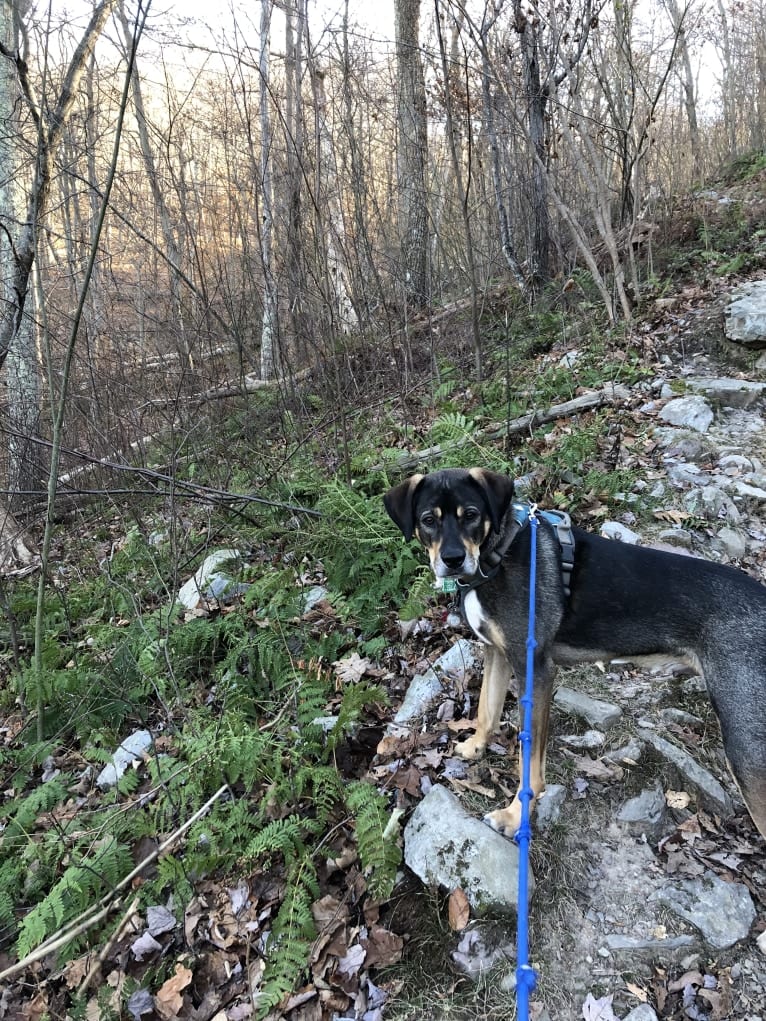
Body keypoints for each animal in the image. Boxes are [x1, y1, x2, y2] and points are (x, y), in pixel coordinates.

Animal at [386, 467, 766, 841]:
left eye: (471, 515)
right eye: (428, 519)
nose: (452, 560)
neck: (498, 555)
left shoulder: (536, 670)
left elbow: (529, 763)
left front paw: (515, 816)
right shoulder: (498, 653)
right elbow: (486, 711)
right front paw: (476, 747)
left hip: (746, 748)